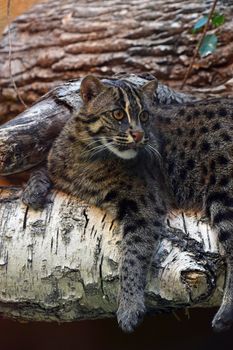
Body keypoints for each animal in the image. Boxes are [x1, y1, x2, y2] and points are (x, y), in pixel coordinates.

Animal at [21, 75, 233, 332]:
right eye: (118, 114)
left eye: (144, 116)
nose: (139, 135)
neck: (88, 151)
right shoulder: (59, 167)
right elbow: (41, 169)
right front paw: (33, 190)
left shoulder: (144, 204)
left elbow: (133, 253)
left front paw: (129, 306)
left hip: (224, 191)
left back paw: (226, 313)